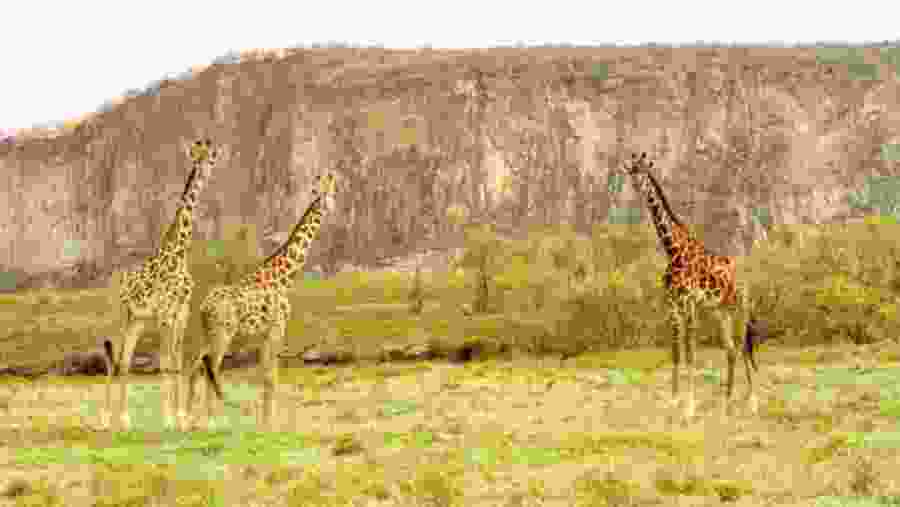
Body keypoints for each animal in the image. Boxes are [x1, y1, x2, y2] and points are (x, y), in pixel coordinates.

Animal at [102, 138, 223, 431]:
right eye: (201, 156)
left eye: (209, 154)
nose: (213, 160)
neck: (179, 253)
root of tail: (109, 282)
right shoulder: (166, 315)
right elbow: (166, 362)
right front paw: (169, 418)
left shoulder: (180, 314)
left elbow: (176, 362)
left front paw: (180, 418)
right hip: (118, 318)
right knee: (112, 360)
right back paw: (105, 419)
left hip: (137, 321)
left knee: (125, 361)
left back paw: (124, 419)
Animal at [186, 173, 338, 431]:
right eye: (330, 195)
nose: (333, 208)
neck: (284, 278)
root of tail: (204, 307)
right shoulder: (277, 328)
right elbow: (270, 377)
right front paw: (270, 424)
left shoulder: (264, 334)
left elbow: (265, 375)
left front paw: (264, 422)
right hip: (224, 333)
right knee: (210, 365)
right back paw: (212, 418)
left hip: (209, 333)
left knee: (197, 366)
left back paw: (187, 419)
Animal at [621, 152, 767, 422]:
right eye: (631, 173)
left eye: (643, 174)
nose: (636, 189)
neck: (673, 250)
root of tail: (747, 277)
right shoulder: (672, 304)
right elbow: (676, 353)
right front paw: (674, 402)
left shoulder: (689, 303)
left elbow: (690, 354)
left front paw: (689, 408)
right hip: (722, 311)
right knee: (731, 349)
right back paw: (726, 403)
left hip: (742, 309)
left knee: (744, 348)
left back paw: (752, 404)